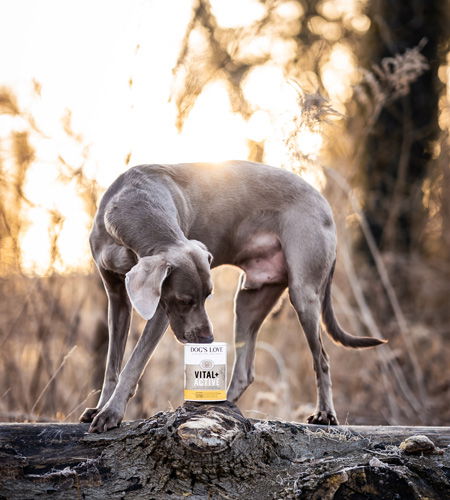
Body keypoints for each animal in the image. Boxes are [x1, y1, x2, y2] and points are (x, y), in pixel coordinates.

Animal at [80, 161, 384, 434]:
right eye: (185, 300)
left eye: (207, 296)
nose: (208, 340)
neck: (136, 201)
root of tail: (325, 204)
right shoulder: (117, 298)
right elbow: (112, 363)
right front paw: (101, 407)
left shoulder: (161, 312)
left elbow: (134, 364)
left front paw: (111, 413)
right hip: (249, 298)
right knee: (245, 371)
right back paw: (216, 405)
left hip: (303, 292)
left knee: (321, 358)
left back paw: (324, 414)